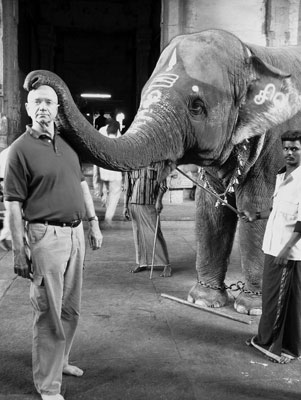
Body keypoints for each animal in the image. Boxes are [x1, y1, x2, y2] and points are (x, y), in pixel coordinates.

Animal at [24, 28, 301, 316]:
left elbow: (257, 208)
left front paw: (250, 309)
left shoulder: (274, 144)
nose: (34, 80)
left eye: (196, 106)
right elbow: (210, 211)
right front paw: (203, 301)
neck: (254, 54)